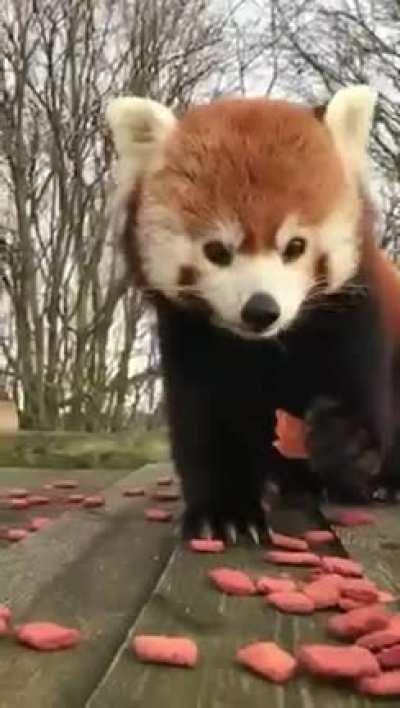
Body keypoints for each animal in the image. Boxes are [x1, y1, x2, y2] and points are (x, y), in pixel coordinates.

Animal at [106, 86, 400, 542]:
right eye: (217, 250)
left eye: (294, 246)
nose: (261, 310)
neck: (267, 347)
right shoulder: (190, 337)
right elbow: (205, 421)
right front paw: (226, 511)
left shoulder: (355, 313)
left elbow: (361, 391)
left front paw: (347, 441)